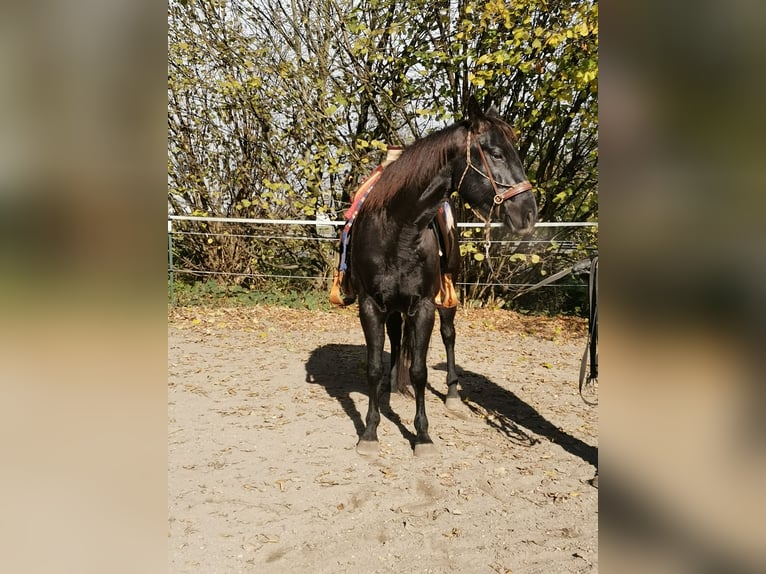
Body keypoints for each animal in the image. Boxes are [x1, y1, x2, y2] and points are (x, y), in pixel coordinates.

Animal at [350, 99, 536, 460]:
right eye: (495, 153)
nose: (529, 213)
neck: (397, 230)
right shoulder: (371, 305)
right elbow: (373, 367)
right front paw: (369, 431)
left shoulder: (423, 306)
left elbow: (421, 371)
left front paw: (422, 436)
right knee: (397, 339)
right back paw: (394, 384)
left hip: (446, 293)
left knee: (449, 336)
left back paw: (451, 394)